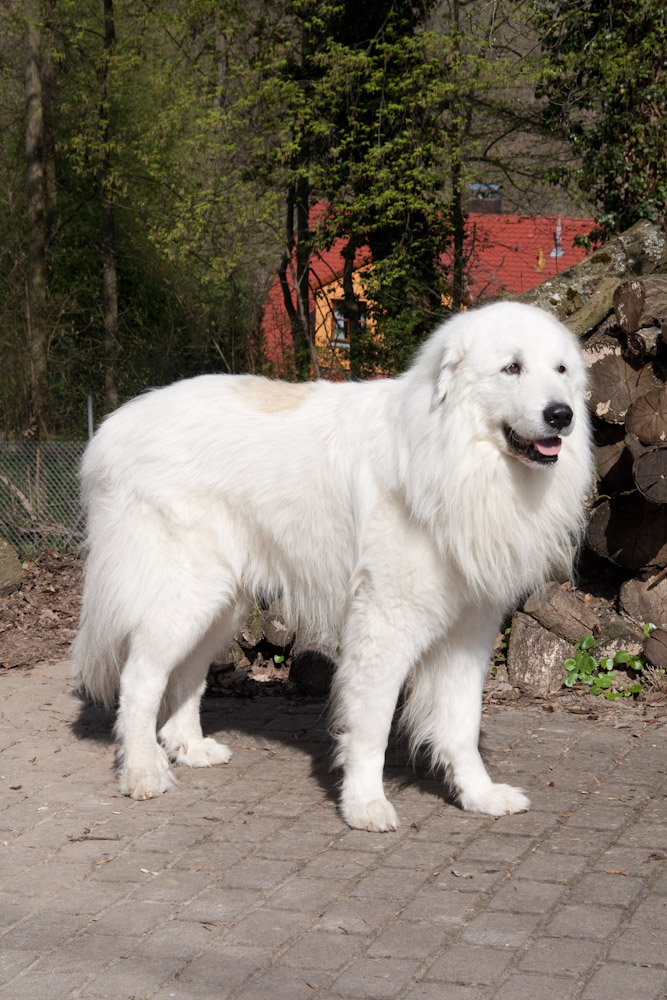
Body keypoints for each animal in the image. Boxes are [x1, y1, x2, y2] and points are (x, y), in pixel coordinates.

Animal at [73, 300, 592, 832]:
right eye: (512, 368)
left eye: (561, 370)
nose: (562, 415)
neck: (454, 453)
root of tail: (112, 426)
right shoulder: (385, 621)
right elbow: (373, 725)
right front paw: (364, 804)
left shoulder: (470, 630)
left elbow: (462, 724)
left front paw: (479, 796)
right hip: (188, 592)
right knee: (139, 680)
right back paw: (143, 771)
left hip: (223, 603)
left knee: (186, 674)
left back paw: (188, 747)